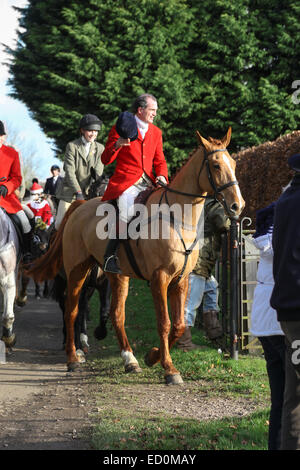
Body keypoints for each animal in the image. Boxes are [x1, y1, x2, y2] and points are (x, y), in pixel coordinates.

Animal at [27, 126, 245, 384]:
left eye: (233, 163)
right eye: (216, 165)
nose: (237, 206)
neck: (177, 218)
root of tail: (80, 206)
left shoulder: (181, 280)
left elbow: (179, 324)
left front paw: (152, 357)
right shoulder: (159, 279)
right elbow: (164, 323)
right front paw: (169, 368)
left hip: (117, 276)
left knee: (116, 314)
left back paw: (130, 359)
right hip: (76, 271)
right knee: (72, 311)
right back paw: (73, 357)